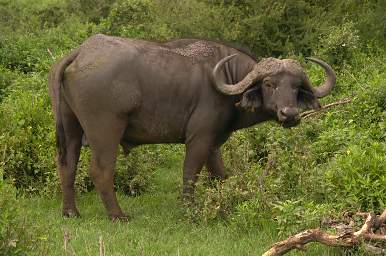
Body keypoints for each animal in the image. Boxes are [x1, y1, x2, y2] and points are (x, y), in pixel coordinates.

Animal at [49, 34, 336, 220]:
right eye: (269, 84)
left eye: (296, 87)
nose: (290, 114)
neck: (228, 81)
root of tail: (82, 51)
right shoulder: (199, 138)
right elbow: (190, 173)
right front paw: (190, 210)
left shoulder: (214, 142)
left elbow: (220, 174)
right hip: (106, 131)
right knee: (101, 170)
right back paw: (118, 215)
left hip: (71, 127)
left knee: (67, 165)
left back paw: (70, 211)